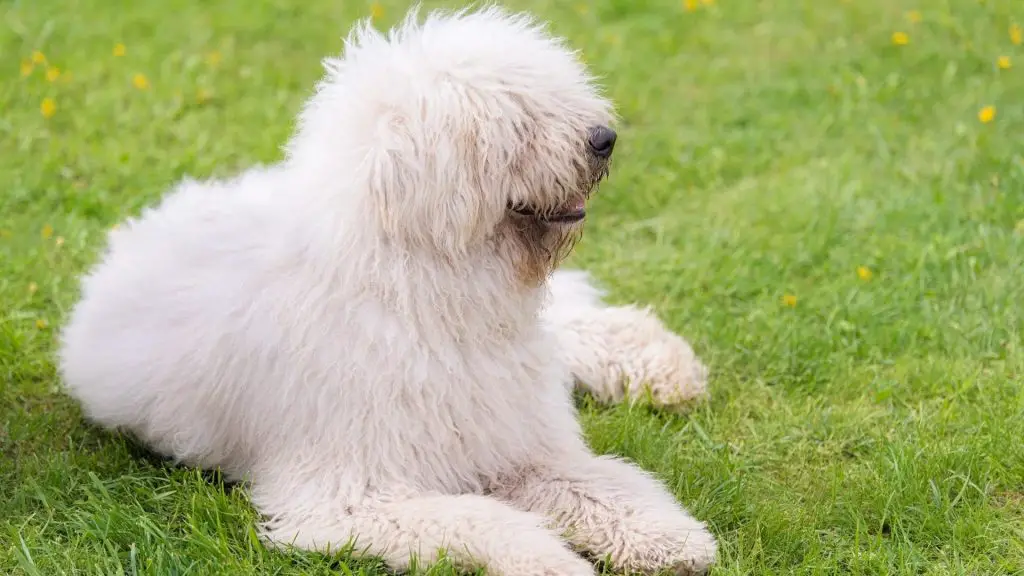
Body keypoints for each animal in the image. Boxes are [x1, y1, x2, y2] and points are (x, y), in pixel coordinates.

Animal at [59, 5, 720, 573]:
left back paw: (666, 367)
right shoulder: (350, 495)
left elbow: (607, 483)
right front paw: (552, 561)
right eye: (516, 118)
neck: (423, 292)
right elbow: (485, 521)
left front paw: (668, 537)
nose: (604, 138)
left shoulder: (520, 447)